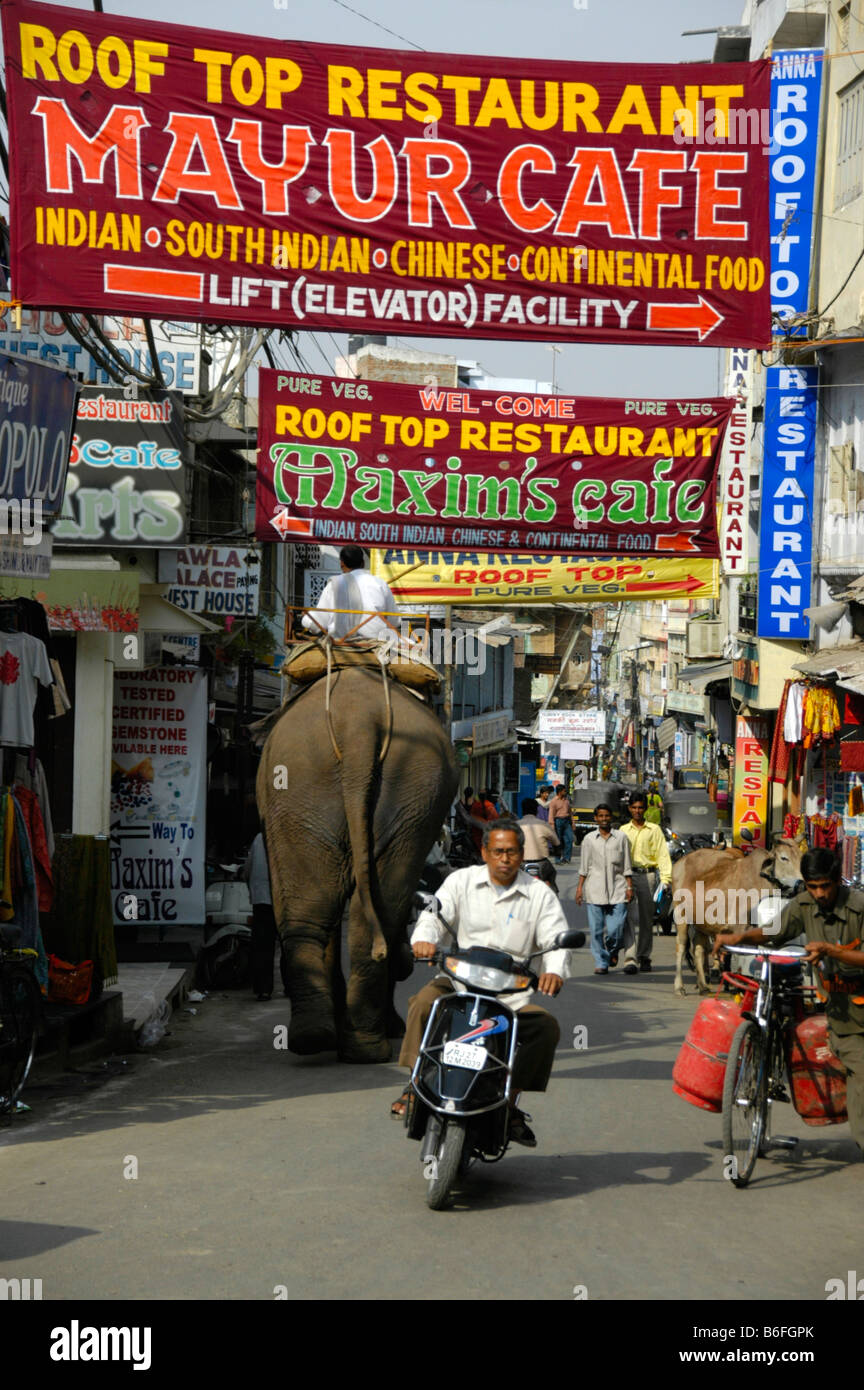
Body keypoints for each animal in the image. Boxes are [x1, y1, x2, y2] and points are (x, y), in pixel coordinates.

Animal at [256, 665, 459, 1063]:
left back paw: (329, 1040)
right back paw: (344, 1042)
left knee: (323, 912)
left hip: (317, 790)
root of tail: (359, 725)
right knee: (370, 912)